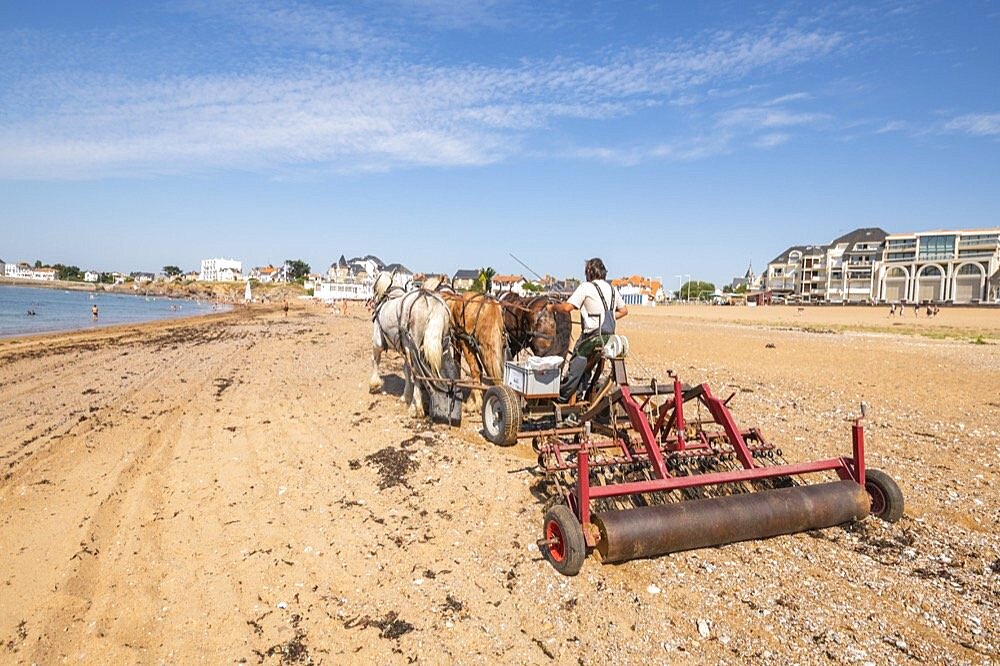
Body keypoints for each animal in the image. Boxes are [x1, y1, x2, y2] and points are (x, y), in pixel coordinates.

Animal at [370, 272, 458, 420]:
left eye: (374, 284)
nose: (371, 300)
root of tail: (432, 302)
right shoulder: (406, 349)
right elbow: (406, 370)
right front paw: (405, 396)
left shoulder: (378, 343)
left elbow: (375, 361)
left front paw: (374, 384)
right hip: (440, 344)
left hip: (414, 346)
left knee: (417, 374)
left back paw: (416, 407)